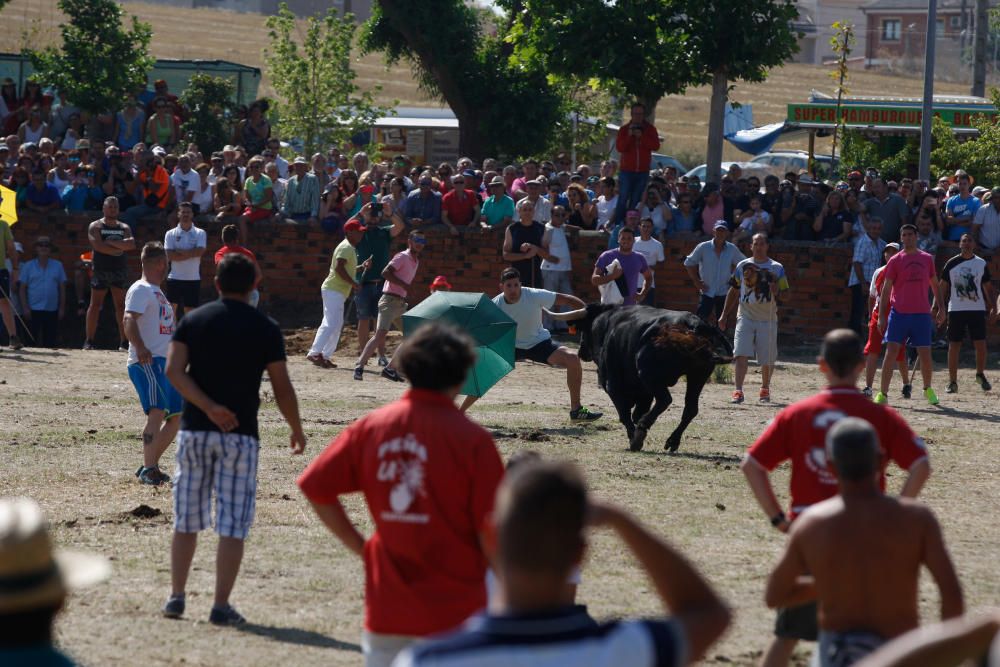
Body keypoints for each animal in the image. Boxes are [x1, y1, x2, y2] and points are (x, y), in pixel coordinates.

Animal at [556, 304, 736, 452]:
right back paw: (672, 441)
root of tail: (694, 325)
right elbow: (636, 412)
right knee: (690, 408)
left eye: (584, 329)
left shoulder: (611, 384)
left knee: (665, 399)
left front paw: (634, 438)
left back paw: (642, 430)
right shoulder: (644, 392)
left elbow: (625, 414)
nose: (580, 352)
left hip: (648, 372)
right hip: (698, 375)